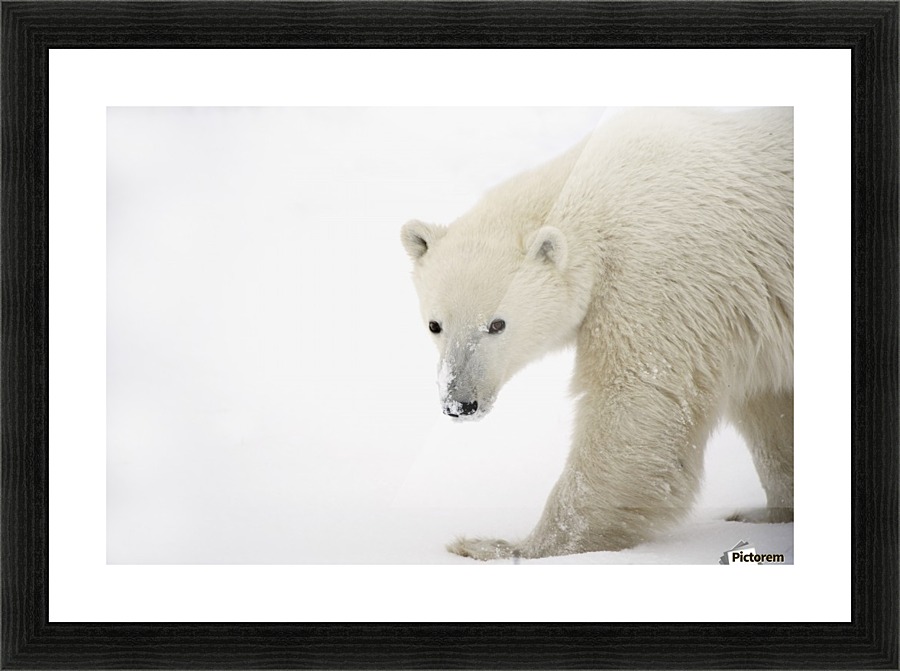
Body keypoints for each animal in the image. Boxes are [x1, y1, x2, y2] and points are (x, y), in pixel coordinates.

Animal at [401, 108, 793, 560]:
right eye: (435, 324)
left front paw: (506, 546)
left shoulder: (659, 271)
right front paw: (768, 513)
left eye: (497, 324)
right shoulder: (749, 313)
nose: (460, 403)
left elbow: (636, 399)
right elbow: (769, 406)